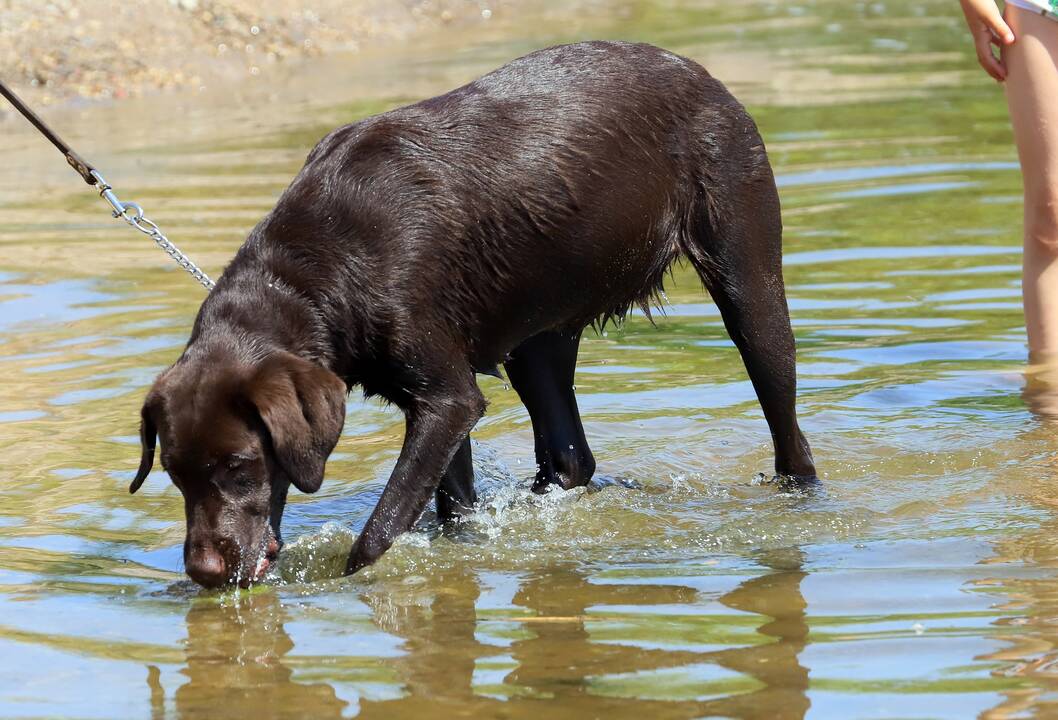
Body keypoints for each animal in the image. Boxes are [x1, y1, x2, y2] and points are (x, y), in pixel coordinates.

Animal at [128, 40, 812, 583]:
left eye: (240, 467)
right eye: (175, 476)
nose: (203, 572)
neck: (318, 273)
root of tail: (702, 74)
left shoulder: (448, 399)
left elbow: (377, 534)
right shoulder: (436, 403)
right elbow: (449, 503)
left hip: (751, 287)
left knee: (788, 430)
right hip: (537, 340)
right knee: (570, 456)